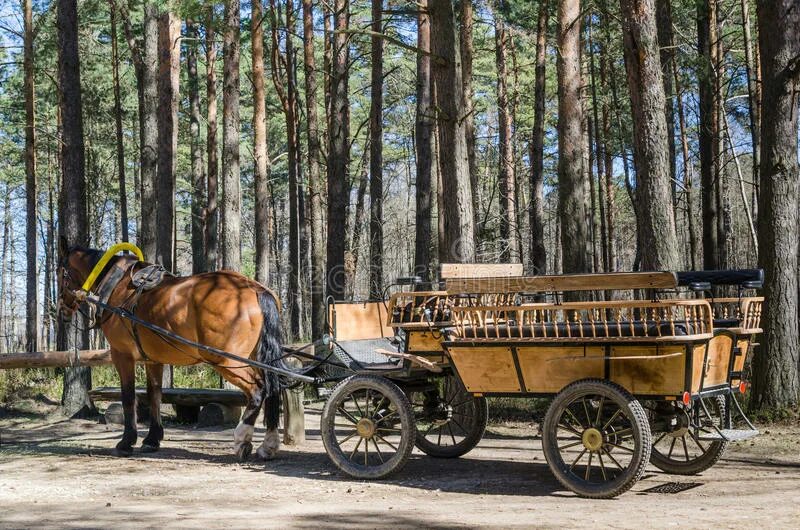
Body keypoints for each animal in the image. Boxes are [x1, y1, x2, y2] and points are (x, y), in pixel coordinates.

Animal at [56, 237, 282, 460]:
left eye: (60, 273)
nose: (62, 311)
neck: (117, 285)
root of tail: (255, 289)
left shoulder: (122, 355)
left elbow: (129, 397)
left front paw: (127, 441)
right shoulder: (153, 359)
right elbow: (154, 394)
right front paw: (152, 439)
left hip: (227, 361)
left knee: (257, 390)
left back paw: (242, 439)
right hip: (257, 358)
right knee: (272, 389)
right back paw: (268, 445)